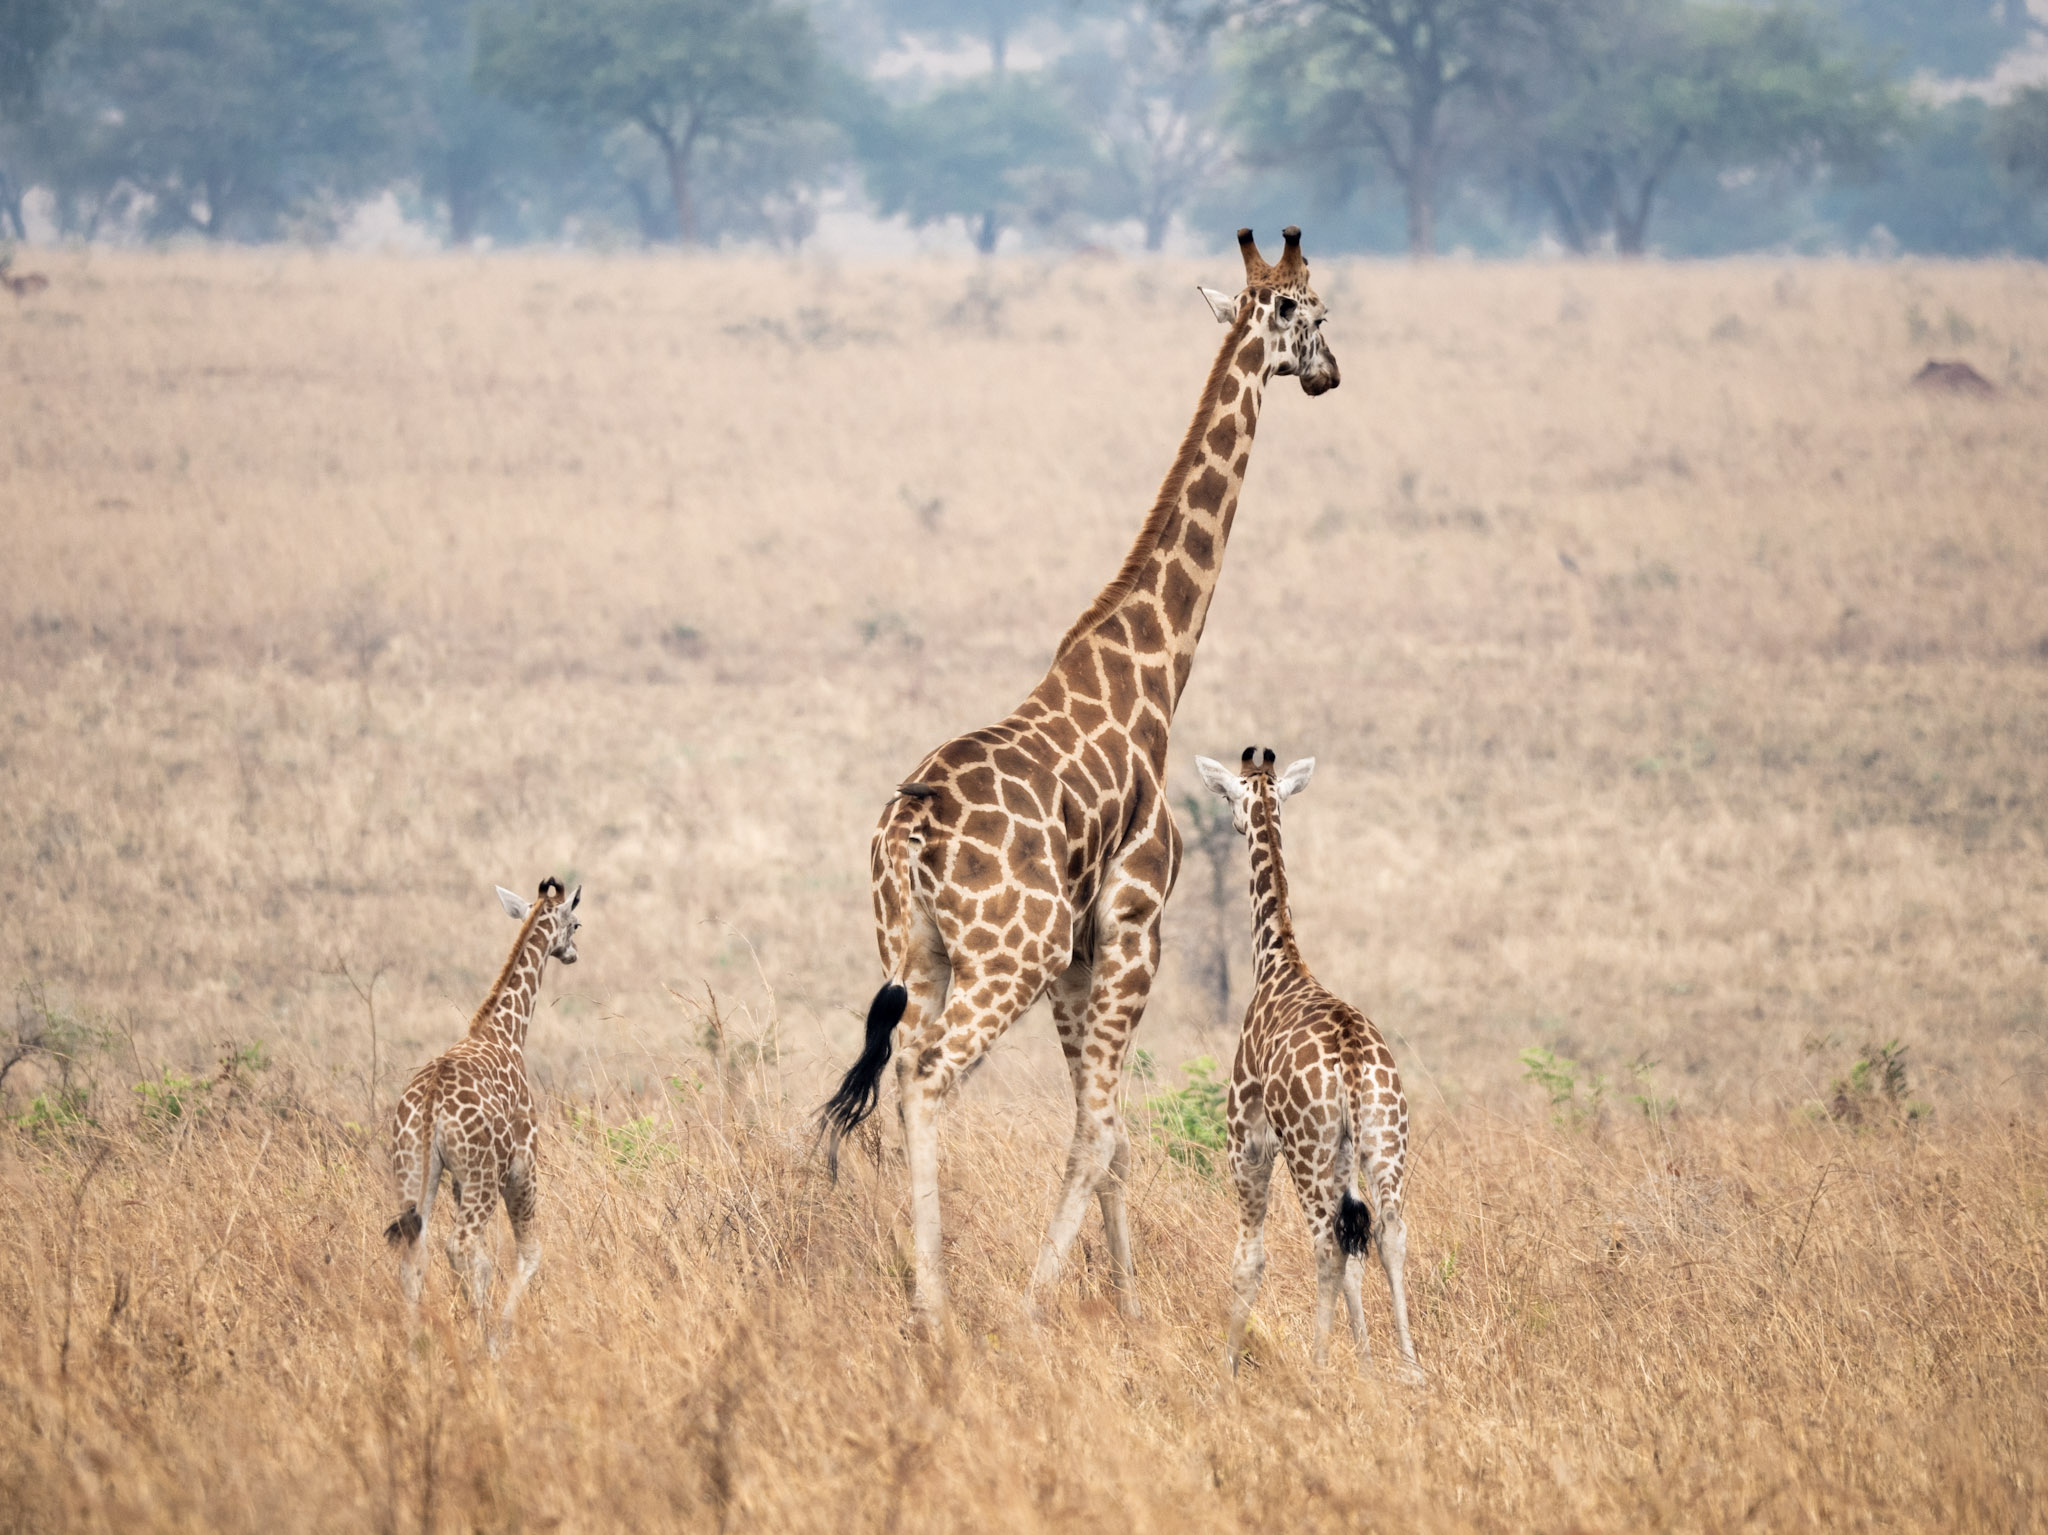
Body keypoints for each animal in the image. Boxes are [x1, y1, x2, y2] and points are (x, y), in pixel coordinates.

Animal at [385, 871, 581, 1350]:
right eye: (576, 924)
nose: (573, 954)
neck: (506, 1030)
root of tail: (431, 1105)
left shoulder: (459, 1180)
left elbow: (485, 1261)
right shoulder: (523, 1163)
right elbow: (528, 1253)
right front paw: (498, 1335)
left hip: (415, 1171)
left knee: (414, 1254)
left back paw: (416, 1346)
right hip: (482, 1176)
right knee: (456, 1244)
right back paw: (480, 1334)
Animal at [823, 225, 1335, 1326]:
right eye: (1314, 314)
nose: (1329, 374)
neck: (1148, 678)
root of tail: (910, 828)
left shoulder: (1079, 952)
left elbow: (1111, 1138)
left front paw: (1127, 1304)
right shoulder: (1132, 924)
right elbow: (1101, 1130)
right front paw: (1042, 1303)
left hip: (915, 950)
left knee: (898, 1086)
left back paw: (917, 1289)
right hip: (1003, 956)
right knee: (931, 1083)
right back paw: (941, 1309)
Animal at [1196, 753, 1417, 1383]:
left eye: (1230, 797)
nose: (1237, 824)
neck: (1277, 961)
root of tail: (1352, 1057)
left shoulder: (1246, 1142)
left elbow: (1249, 1257)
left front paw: (1226, 1368)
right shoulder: (1344, 1154)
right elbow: (1359, 1254)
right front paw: (1366, 1363)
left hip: (1306, 1146)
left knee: (1325, 1243)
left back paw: (1317, 1367)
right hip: (1382, 1138)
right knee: (1387, 1234)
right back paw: (1412, 1367)